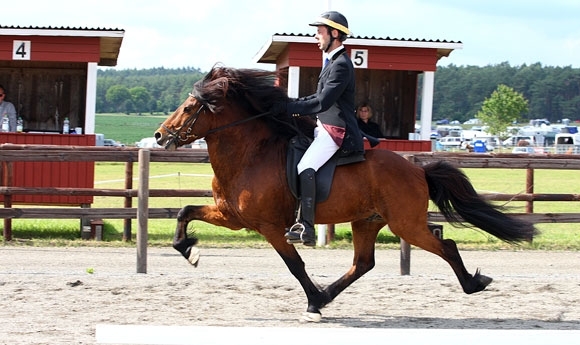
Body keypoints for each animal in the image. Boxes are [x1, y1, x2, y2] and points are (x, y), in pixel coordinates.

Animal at [152, 65, 536, 322]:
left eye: (189, 108)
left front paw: (310, 303)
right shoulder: (231, 215)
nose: (159, 136)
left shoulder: (269, 226)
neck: (251, 154)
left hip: (406, 224)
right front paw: (190, 251)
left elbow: (295, 264)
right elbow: (184, 211)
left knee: (446, 246)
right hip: (367, 221)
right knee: (363, 263)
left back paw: (473, 283)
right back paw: (327, 296)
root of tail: (417, 169)